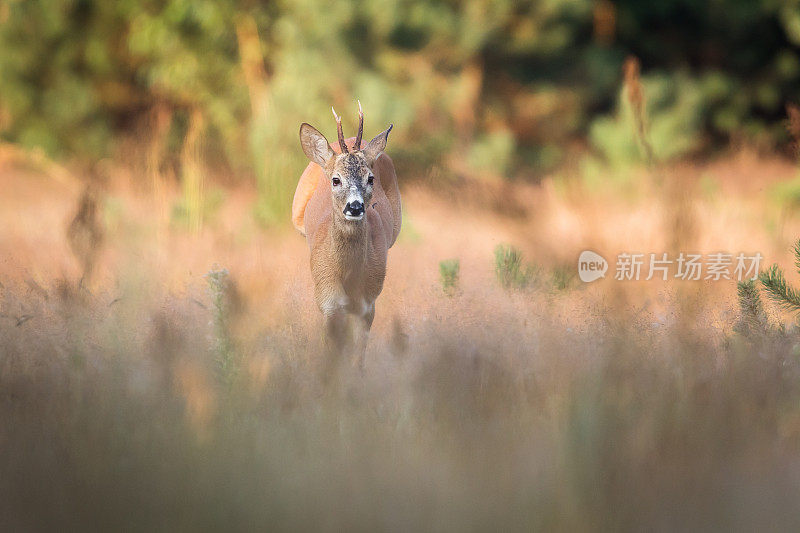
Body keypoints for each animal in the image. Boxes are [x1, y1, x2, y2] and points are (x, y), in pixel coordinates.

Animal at [292, 103, 400, 368]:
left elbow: (357, 357)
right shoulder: (327, 300)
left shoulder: (368, 303)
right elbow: (332, 354)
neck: (348, 276)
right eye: (336, 179)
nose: (355, 207)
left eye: (370, 178)